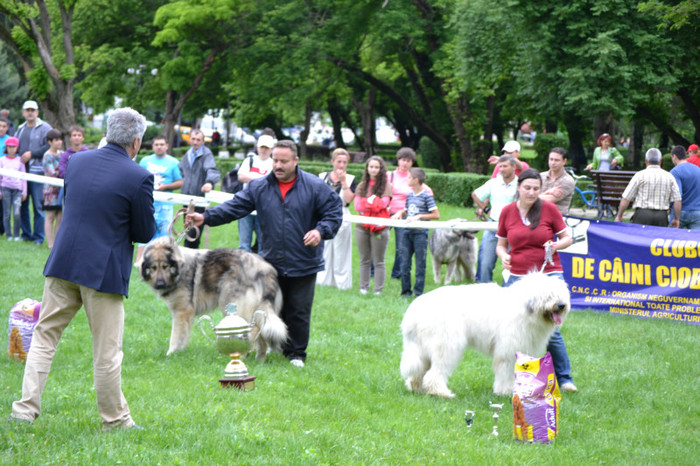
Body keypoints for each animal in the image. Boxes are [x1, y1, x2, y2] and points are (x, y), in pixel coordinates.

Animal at [140, 237, 288, 356]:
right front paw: (180, 352)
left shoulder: (181, 312)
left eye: (165, 266)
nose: (159, 284)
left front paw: (171, 353)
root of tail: (265, 269)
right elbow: (184, 336)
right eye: (153, 268)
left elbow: (175, 336)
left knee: (255, 330)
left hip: (233, 305)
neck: (180, 268)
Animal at [400, 274, 568, 398]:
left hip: (422, 348)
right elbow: (506, 371)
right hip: (447, 345)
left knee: (419, 371)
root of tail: (413, 313)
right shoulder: (507, 351)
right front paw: (506, 392)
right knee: (435, 373)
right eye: (548, 295)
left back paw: (417, 388)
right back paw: (441, 393)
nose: (561, 305)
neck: (526, 310)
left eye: (561, 294)